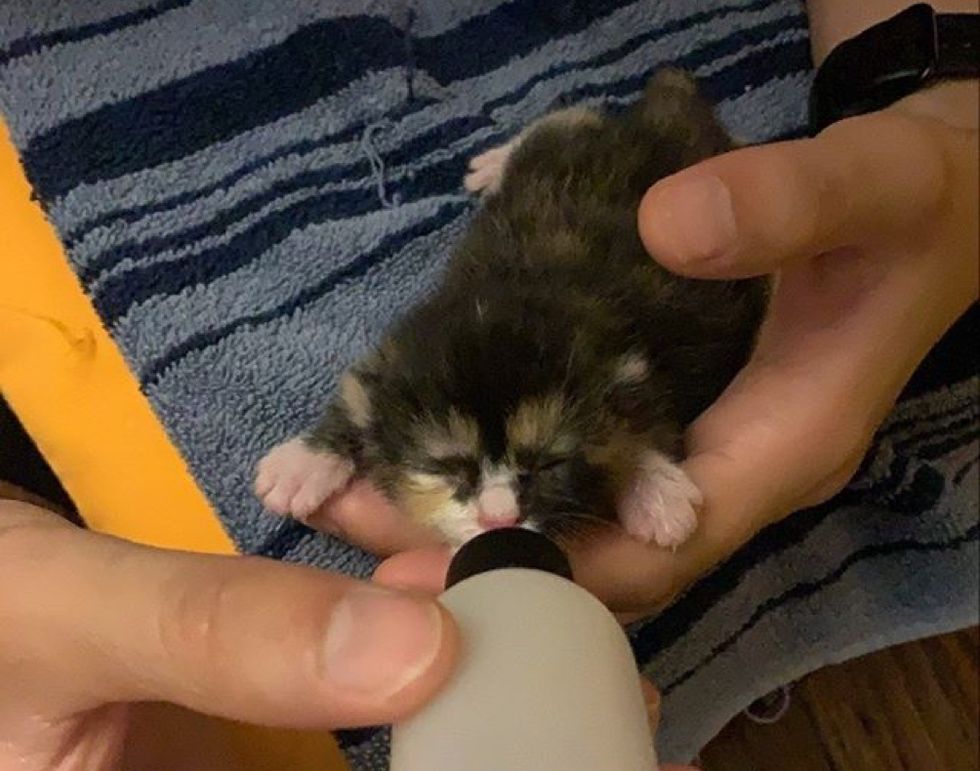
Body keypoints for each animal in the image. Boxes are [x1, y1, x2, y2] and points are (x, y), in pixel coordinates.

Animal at [255, 69, 764, 544]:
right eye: (448, 466)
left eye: (548, 463)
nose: (498, 519)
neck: (513, 292)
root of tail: (658, 120)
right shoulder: (403, 343)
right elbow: (359, 390)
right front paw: (304, 462)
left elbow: (646, 413)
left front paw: (653, 487)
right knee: (570, 118)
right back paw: (499, 161)